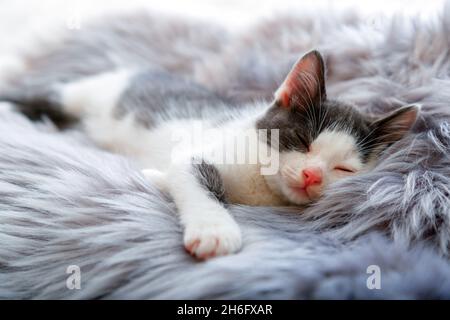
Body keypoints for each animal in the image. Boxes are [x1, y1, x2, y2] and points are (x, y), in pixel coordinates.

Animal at [1, 50, 420, 260]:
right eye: (302, 140)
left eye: (344, 169)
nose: (311, 175)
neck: (260, 186)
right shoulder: (196, 151)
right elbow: (193, 178)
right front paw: (214, 230)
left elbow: (169, 173)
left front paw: (156, 178)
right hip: (82, 92)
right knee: (40, 96)